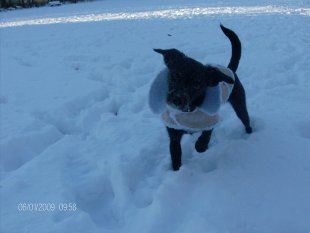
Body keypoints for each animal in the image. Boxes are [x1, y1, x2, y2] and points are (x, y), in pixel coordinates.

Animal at [150, 25, 252, 171]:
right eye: (175, 75)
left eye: (197, 84)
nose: (177, 99)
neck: (188, 111)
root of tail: (229, 69)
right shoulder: (173, 135)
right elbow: (176, 157)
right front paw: (176, 171)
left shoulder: (211, 120)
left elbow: (204, 139)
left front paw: (201, 146)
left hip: (240, 105)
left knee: (246, 120)